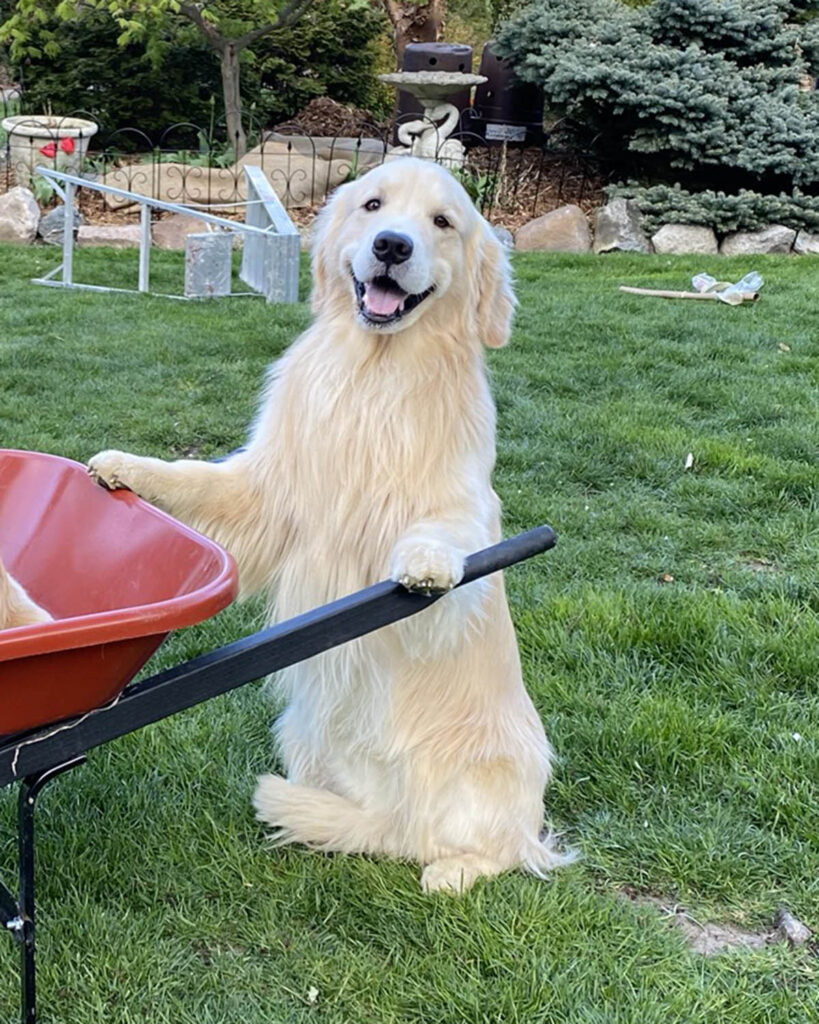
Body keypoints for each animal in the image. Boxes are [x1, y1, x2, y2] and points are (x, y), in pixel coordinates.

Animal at [88, 155, 569, 892]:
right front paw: (125, 468)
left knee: (501, 849)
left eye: (442, 221)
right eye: (373, 205)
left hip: (500, 775)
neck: (374, 375)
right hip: (302, 732)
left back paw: (450, 871)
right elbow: (196, 478)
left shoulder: (459, 504)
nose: (392, 246)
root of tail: (399, 826)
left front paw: (428, 565)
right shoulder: (269, 490)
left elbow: (446, 538)